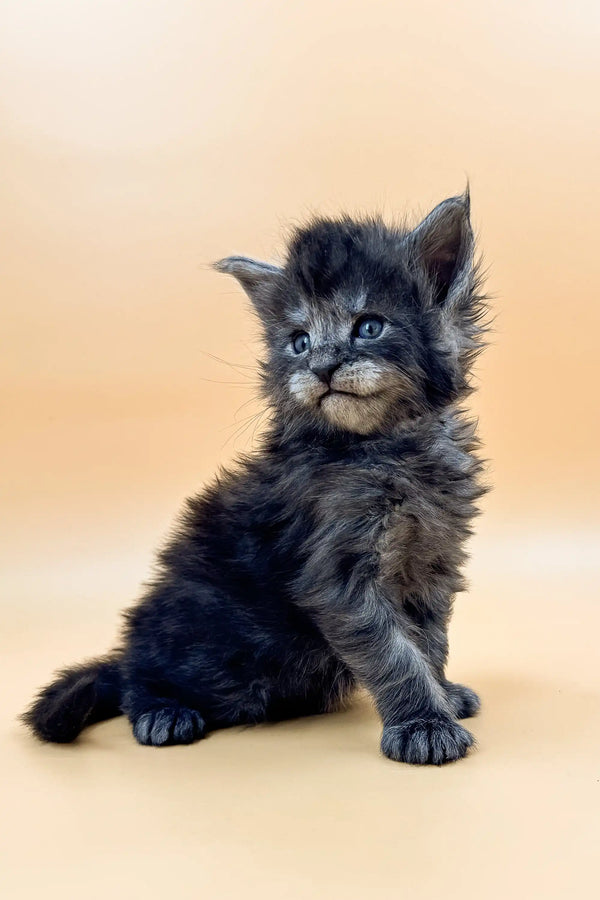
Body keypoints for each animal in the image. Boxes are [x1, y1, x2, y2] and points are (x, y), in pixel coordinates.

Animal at [23, 192, 488, 768]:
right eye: (299, 341)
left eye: (369, 327)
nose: (322, 366)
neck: (385, 449)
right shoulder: (338, 572)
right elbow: (393, 652)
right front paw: (422, 722)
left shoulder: (431, 560)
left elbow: (429, 640)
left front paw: (441, 694)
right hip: (203, 632)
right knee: (134, 675)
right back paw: (161, 710)